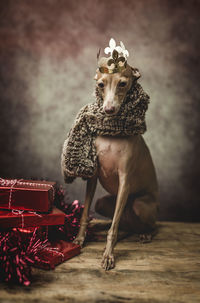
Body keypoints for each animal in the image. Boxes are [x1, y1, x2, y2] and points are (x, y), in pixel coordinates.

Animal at [72, 61, 159, 270]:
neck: (112, 133)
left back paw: (146, 234)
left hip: (140, 204)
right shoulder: (93, 176)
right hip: (103, 203)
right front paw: (80, 239)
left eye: (123, 83)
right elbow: (85, 213)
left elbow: (114, 230)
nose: (109, 110)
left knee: (151, 225)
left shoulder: (125, 179)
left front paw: (108, 256)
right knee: (119, 222)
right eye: (101, 84)